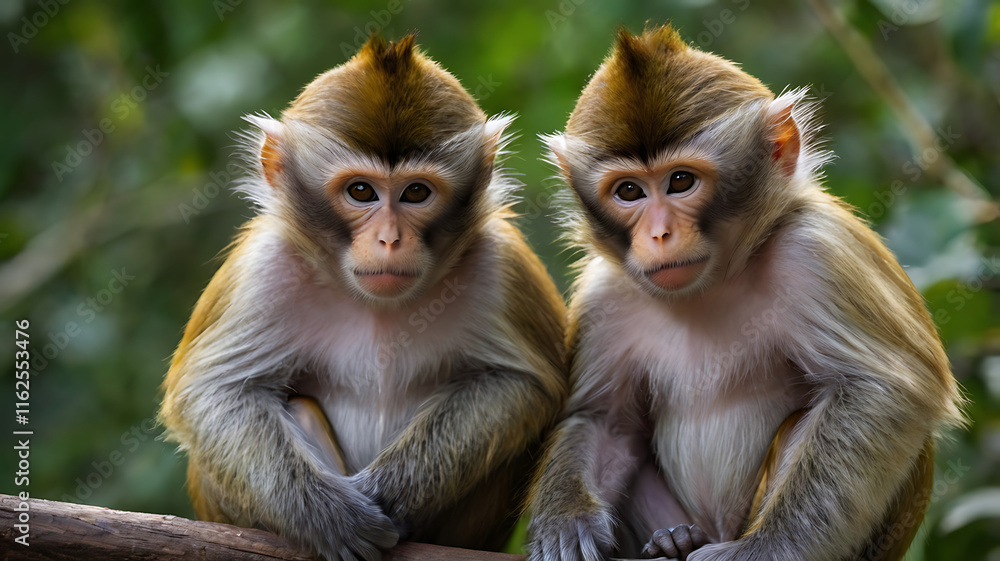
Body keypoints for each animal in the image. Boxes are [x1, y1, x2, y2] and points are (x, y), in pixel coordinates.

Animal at [160, 34, 567, 561]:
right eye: (360, 191)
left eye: (416, 193)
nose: (390, 239)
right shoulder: (262, 269)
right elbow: (212, 392)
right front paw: (328, 515)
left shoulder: (500, 265)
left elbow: (522, 383)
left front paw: (388, 491)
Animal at [526, 25, 964, 561]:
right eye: (629, 191)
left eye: (680, 181)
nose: (659, 234)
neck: (713, 284)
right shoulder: (605, 293)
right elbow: (605, 421)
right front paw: (565, 523)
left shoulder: (815, 253)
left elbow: (883, 389)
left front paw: (767, 549)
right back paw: (673, 540)